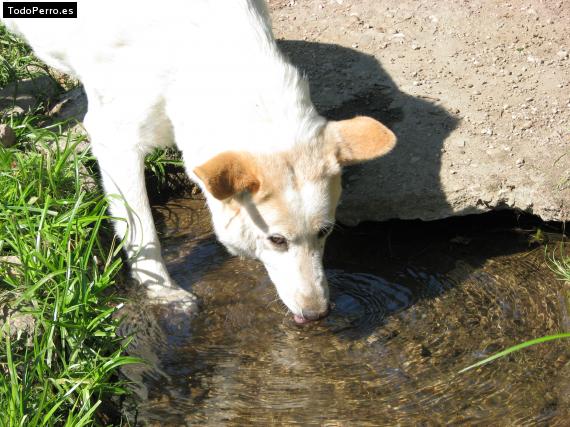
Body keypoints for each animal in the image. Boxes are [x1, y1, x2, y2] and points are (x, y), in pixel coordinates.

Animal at [3, 0, 394, 324]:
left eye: (325, 232)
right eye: (277, 240)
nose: (317, 315)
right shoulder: (115, 140)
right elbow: (144, 232)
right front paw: (165, 296)